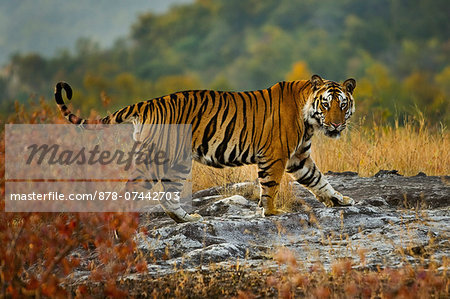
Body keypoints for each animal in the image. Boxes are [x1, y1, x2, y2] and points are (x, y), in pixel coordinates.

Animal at [56, 74, 356, 223]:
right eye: (326, 105)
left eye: (342, 105)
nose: (337, 125)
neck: (309, 119)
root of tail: (147, 103)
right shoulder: (276, 156)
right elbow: (270, 187)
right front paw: (271, 213)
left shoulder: (298, 157)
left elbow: (319, 179)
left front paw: (339, 200)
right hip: (162, 159)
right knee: (132, 192)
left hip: (173, 162)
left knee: (165, 197)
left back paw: (187, 219)